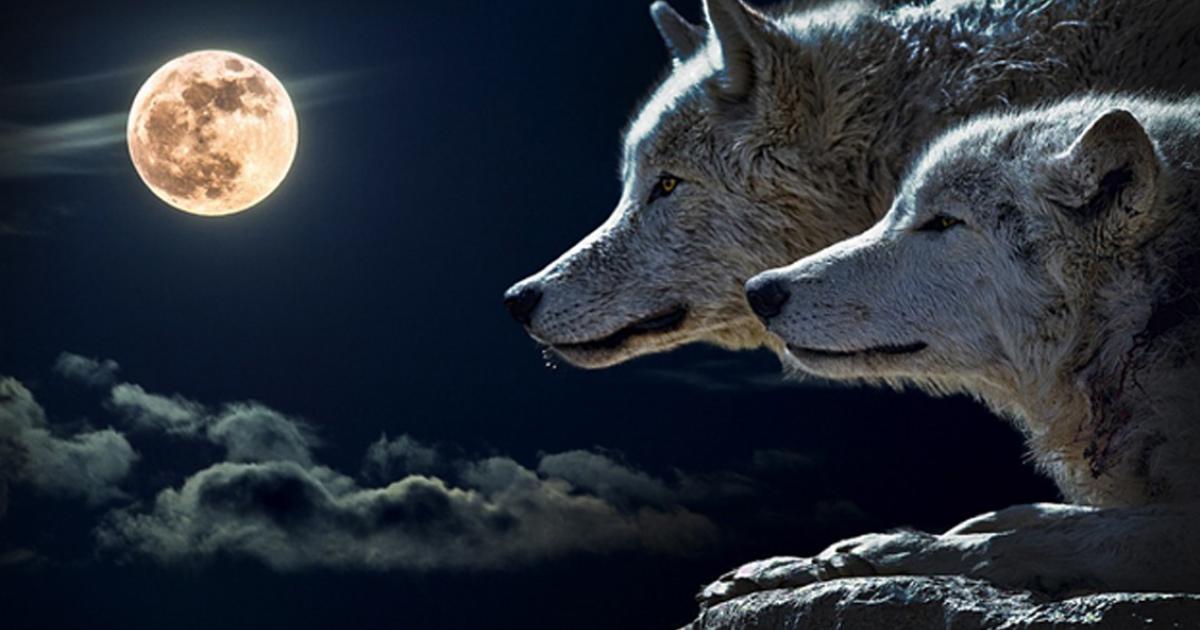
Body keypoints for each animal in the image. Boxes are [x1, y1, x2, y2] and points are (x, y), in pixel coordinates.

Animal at [708, 96, 1200, 603]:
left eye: (943, 222)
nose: (759, 291)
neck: (1149, 318)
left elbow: (1023, 540)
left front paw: (871, 552)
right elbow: (1027, 515)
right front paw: (786, 566)